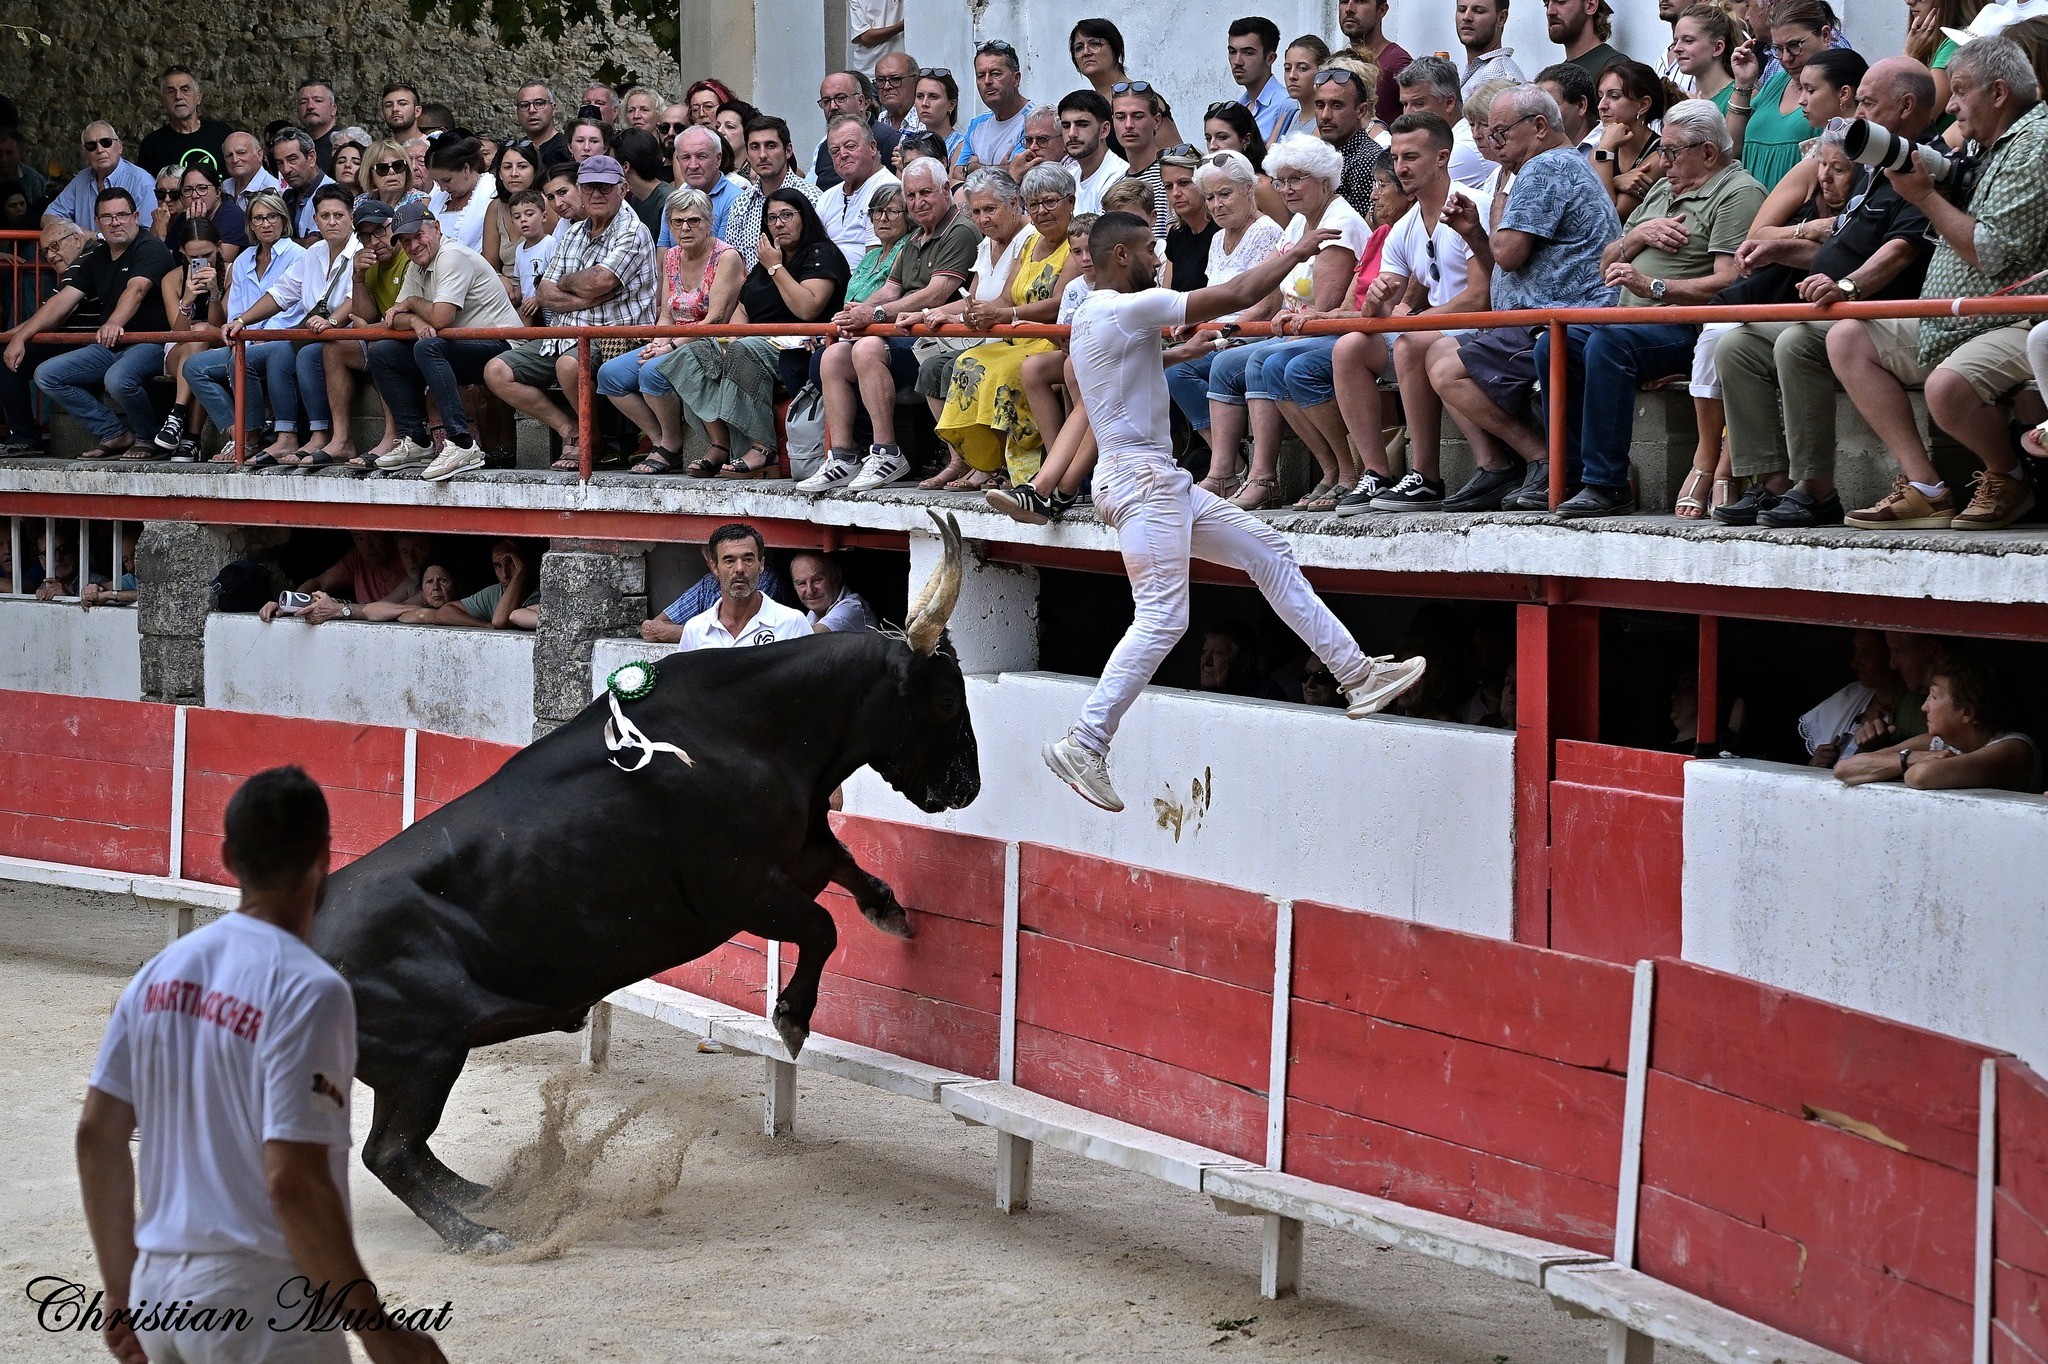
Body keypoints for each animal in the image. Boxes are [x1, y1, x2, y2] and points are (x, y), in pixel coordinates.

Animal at [309, 516, 974, 1245]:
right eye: (945, 699)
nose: (966, 786)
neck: (750, 730)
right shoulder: (740, 892)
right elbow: (822, 927)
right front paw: (793, 1018)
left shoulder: (800, 846)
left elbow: (846, 866)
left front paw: (890, 913)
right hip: (430, 1050)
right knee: (391, 1152)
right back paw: (479, 1232)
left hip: (414, 1061)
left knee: (401, 1149)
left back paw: (489, 1200)